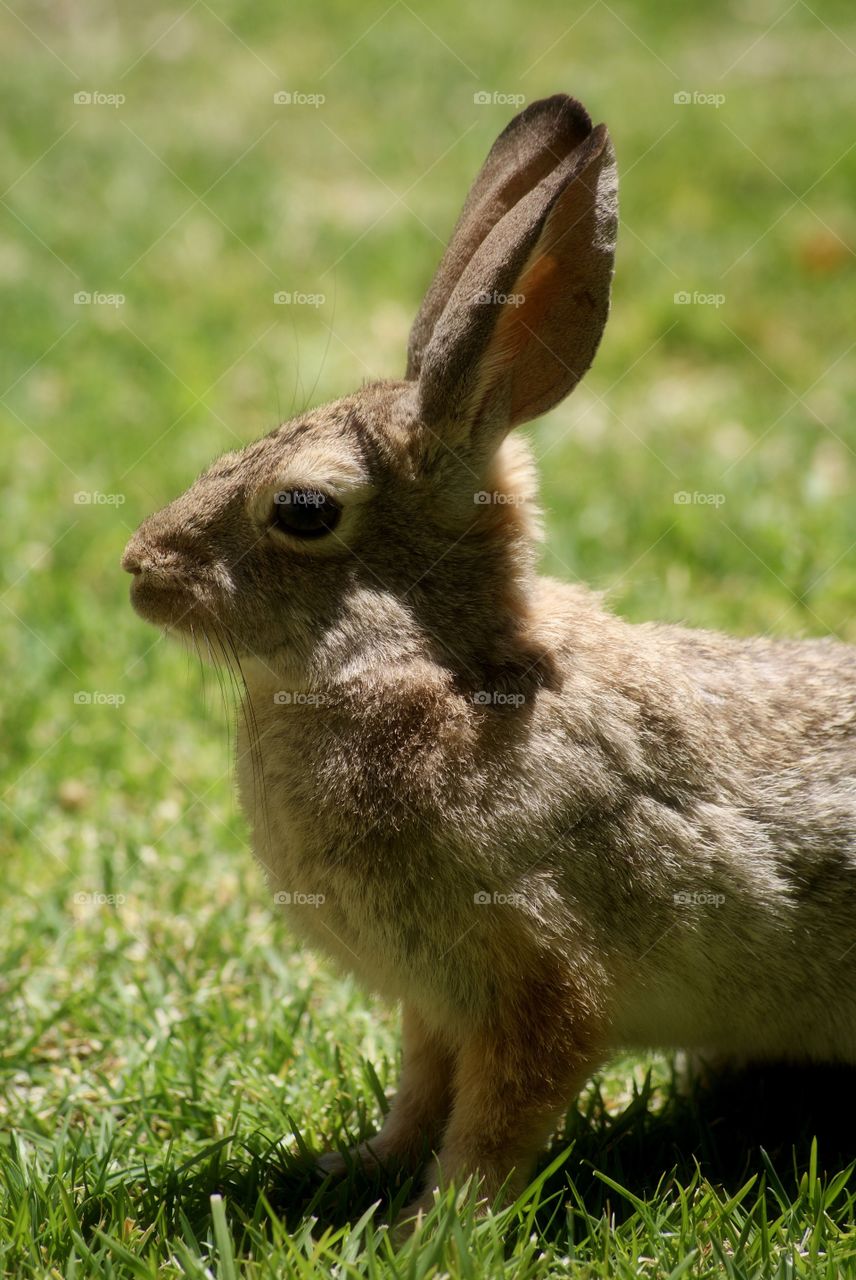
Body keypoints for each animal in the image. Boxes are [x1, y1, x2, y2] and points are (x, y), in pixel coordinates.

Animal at [122, 93, 856, 1226]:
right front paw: (363, 1171)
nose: (138, 568)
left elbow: (498, 1118)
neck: (449, 669)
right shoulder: (439, 1000)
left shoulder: (543, 976)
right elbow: (423, 1088)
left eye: (304, 510)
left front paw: (438, 1224)